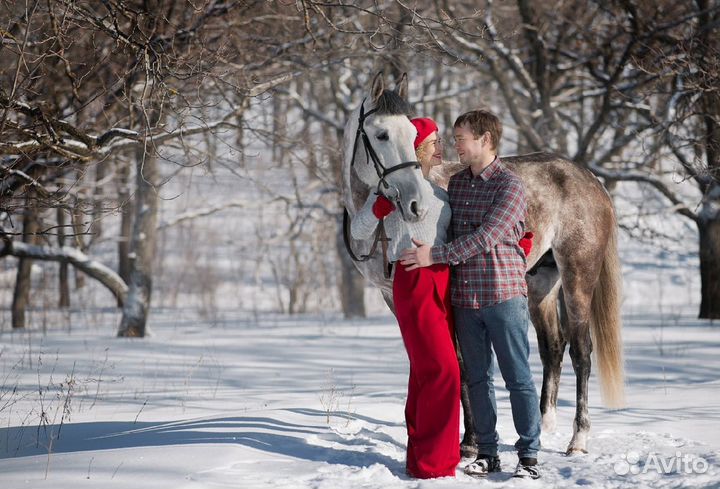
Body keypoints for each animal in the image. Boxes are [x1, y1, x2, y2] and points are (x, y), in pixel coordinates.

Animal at [344, 71, 624, 454]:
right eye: (382, 134)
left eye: (412, 134)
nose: (415, 203)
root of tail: (590, 179)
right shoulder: (391, 296)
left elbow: (461, 363)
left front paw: (470, 442)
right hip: (541, 284)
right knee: (553, 348)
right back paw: (543, 426)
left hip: (577, 276)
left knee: (582, 351)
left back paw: (577, 438)